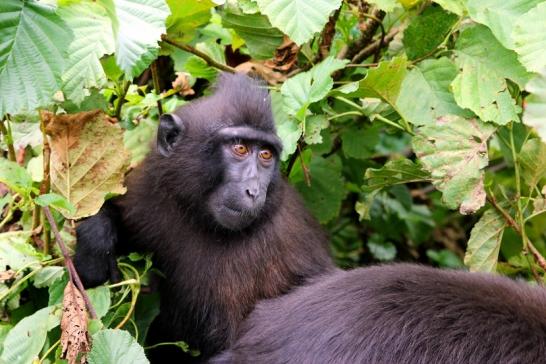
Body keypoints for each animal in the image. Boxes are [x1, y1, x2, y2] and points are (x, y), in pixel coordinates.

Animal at [73, 74, 334, 362]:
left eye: (266, 155)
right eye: (240, 148)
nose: (254, 191)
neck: (205, 222)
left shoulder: (286, 238)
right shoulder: (152, 190)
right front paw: (94, 243)